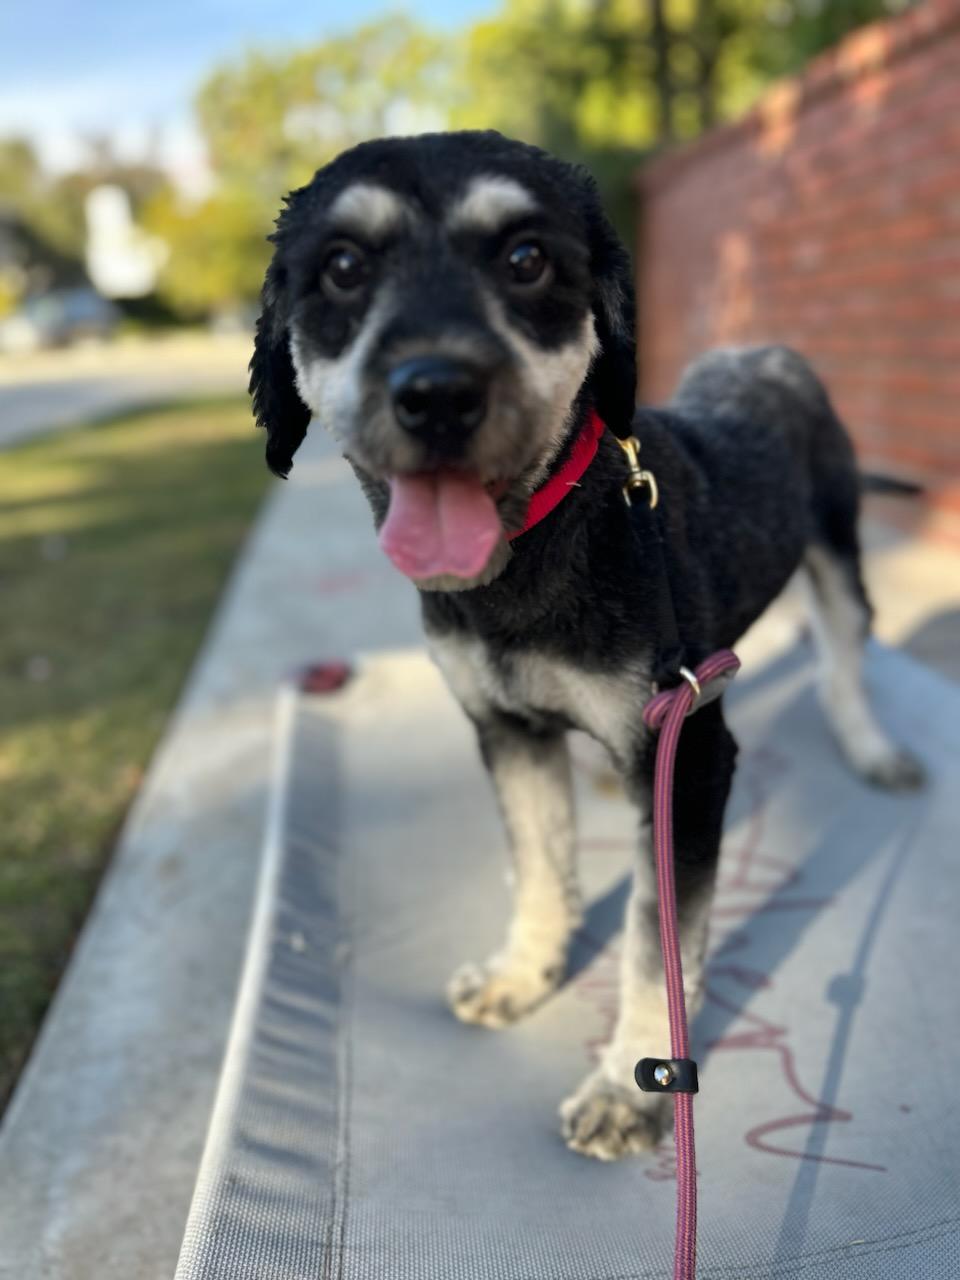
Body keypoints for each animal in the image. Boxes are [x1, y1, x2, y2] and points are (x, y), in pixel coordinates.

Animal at [249, 129, 926, 1162]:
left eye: (527, 259)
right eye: (342, 266)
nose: (437, 394)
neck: (541, 545)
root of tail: (767, 352)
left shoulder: (692, 758)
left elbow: (657, 945)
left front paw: (629, 1088)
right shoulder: (508, 730)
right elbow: (538, 867)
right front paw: (522, 975)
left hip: (839, 551)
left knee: (845, 658)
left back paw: (870, 748)